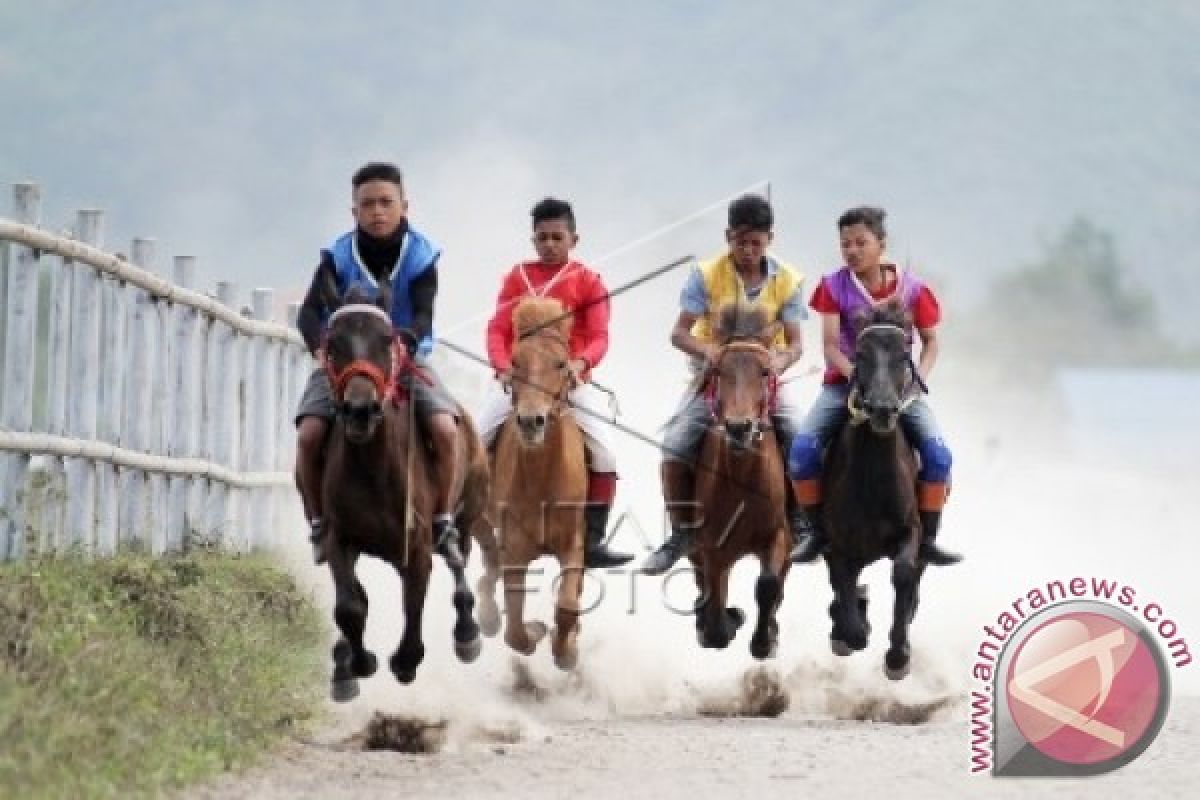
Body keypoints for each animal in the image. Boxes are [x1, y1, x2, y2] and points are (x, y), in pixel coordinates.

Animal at [319, 299, 492, 700]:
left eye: (386, 342)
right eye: (333, 344)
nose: (360, 410)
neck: (372, 470)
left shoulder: (416, 546)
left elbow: (413, 603)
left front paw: (405, 661)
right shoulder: (341, 536)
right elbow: (349, 607)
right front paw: (357, 662)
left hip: (470, 511)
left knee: (459, 559)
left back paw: (466, 631)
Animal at [477, 293, 590, 671]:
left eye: (560, 364)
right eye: (515, 361)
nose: (531, 421)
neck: (542, 482)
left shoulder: (574, 543)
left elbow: (568, 604)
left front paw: (565, 650)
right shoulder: (515, 550)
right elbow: (514, 630)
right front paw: (537, 631)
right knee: (488, 568)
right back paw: (486, 614)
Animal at [686, 303, 796, 662]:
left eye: (764, 372)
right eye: (719, 371)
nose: (738, 428)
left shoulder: (778, 535)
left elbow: (768, 585)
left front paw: (763, 642)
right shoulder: (711, 545)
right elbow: (716, 611)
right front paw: (726, 621)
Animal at [820, 299, 931, 681]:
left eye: (903, 354)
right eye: (860, 354)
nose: (882, 409)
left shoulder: (910, 530)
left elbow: (904, 573)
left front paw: (897, 656)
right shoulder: (837, 543)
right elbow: (844, 588)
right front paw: (852, 631)